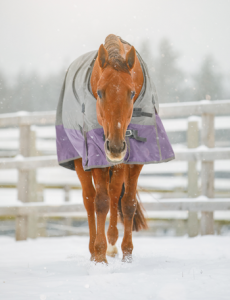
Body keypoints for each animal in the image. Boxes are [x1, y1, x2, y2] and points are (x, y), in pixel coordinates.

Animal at [74, 35, 148, 264]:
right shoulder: (97, 155)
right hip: (81, 163)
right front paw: (99, 257)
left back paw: (113, 243)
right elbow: (101, 203)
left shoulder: (134, 161)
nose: (115, 147)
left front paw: (127, 254)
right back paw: (93, 250)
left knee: (115, 193)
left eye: (132, 93)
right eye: (99, 92)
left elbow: (128, 203)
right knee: (89, 199)